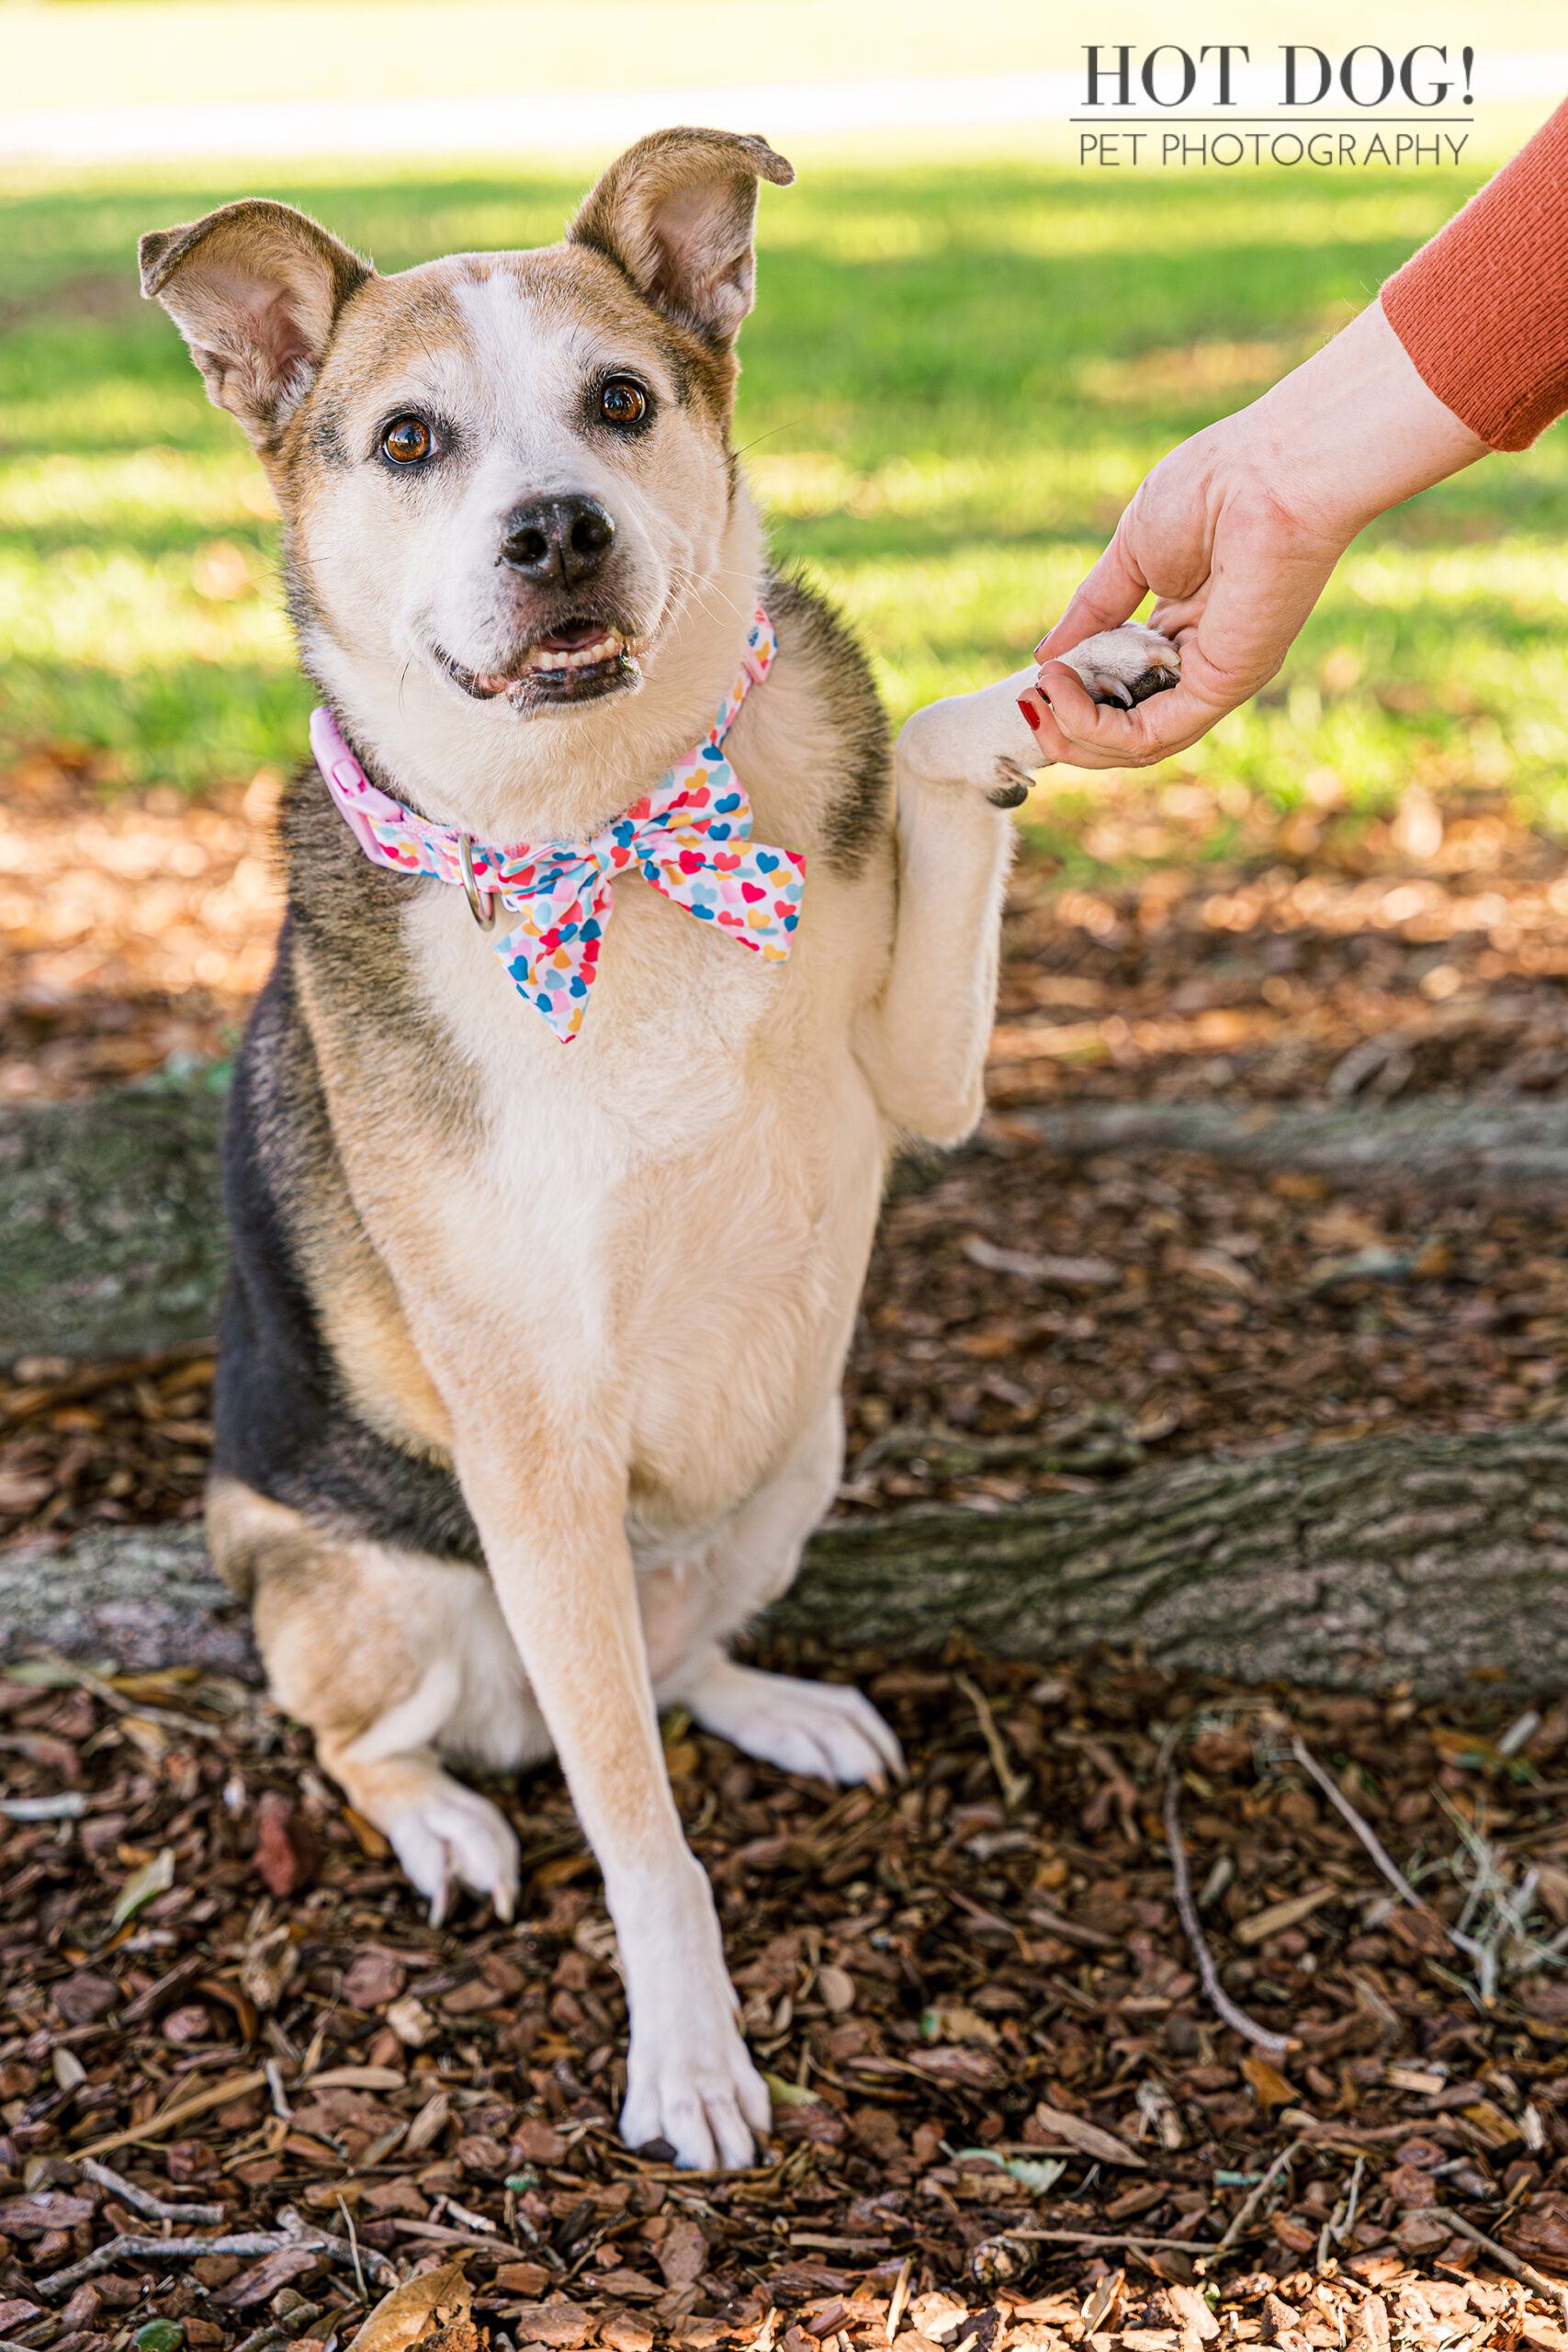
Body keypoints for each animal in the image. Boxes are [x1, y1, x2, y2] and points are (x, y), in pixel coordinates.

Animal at [143, 119, 1175, 2154]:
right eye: (408, 441)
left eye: (618, 401)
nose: (556, 530)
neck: (605, 828)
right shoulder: (535, 1416)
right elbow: (639, 1832)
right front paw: (689, 2054)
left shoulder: (916, 1078)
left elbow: (936, 755)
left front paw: (1052, 693)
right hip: (374, 1589)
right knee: (386, 1740)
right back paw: (450, 1821)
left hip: (796, 1458)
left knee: (679, 1661)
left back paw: (777, 1703)